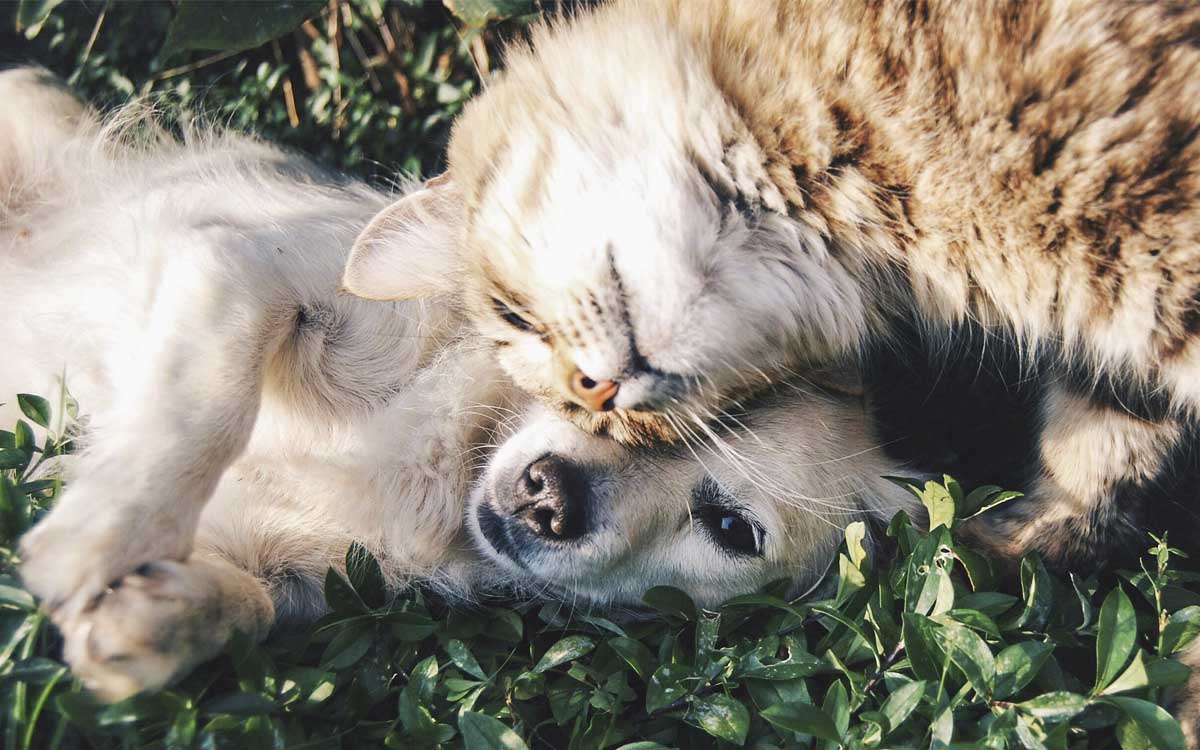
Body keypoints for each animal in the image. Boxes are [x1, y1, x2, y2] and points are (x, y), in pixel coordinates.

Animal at [4, 70, 912, 700]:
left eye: (730, 528)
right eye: (596, 382)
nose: (551, 497)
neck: (449, 461)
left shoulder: (294, 570)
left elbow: (251, 607)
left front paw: (153, 621)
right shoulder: (241, 266)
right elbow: (206, 408)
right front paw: (99, 536)